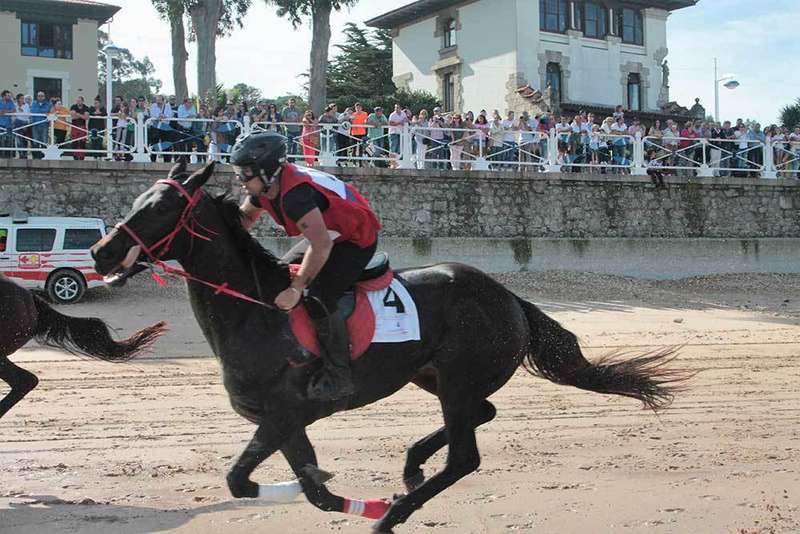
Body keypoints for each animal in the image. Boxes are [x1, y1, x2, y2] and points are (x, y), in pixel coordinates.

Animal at [90, 161, 690, 533]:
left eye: (159, 209)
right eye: (138, 200)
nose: (100, 252)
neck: (256, 309)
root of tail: (510, 298)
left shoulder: (285, 412)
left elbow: (242, 480)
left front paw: (361, 501)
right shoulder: (283, 420)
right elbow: (307, 485)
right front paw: (321, 487)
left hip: (457, 376)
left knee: (466, 455)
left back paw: (392, 512)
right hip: (435, 376)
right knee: (482, 413)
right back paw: (410, 468)